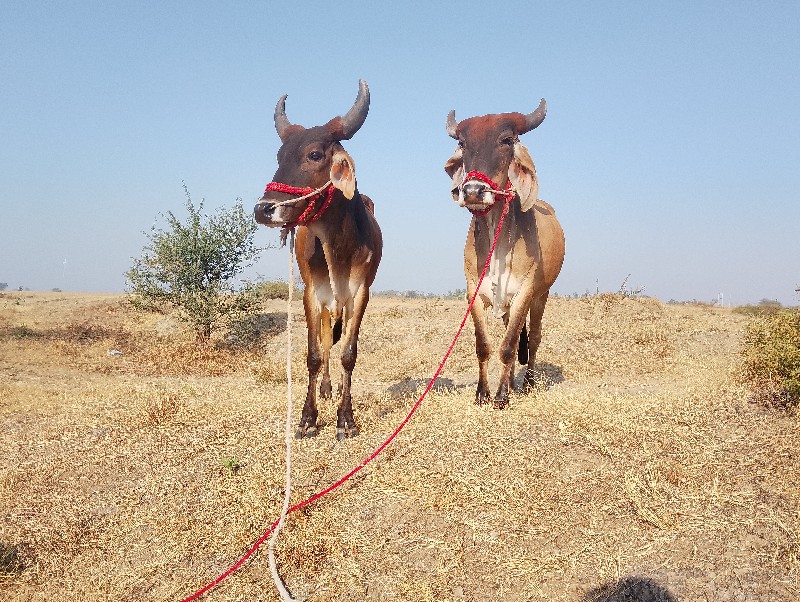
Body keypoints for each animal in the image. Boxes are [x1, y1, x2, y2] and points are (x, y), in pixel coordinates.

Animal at [255, 79, 382, 438]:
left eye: (314, 154)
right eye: (279, 155)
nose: (264, 209)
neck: (338, 246)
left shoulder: (360, 294)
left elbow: (349, 354)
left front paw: (346, 419)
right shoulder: (312, 293)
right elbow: (314, 353)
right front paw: (308, 418)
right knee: (326, 342)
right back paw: (325, 389)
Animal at [444, 99, 564, 408]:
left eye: (507, 140)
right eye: (462, 143)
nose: (473, 191)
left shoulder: (525, 291)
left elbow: (510, 346)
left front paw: (500, 397)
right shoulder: (473, 291)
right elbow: (484, 345)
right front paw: (483, 392)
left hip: (541, 295)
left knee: (534, 338)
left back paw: (527, 382)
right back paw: (510, 382)